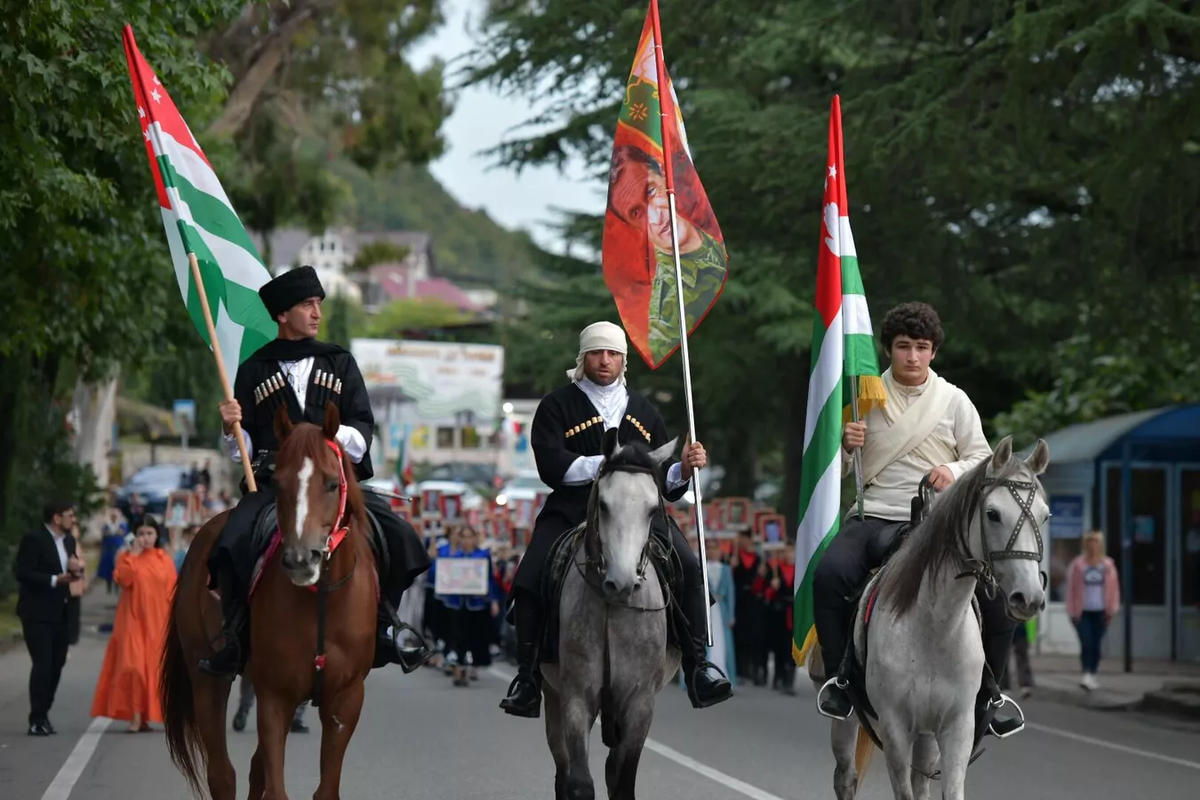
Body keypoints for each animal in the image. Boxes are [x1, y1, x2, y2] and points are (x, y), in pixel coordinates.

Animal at [160, 407, 374, 800]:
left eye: (331, 483)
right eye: (280, 482)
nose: (301, 559)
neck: (322, 600)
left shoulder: (346, 700)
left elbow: (323, 789)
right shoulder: (275, 696)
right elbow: (274, 786)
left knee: (253, 769)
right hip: (207, 679)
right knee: (223, 773)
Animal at [544, 431, 686, 800]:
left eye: (652, 510)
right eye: (604, 505)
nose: (621, 583)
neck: (612, 608)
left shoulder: (640, 703)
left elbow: (622, 783)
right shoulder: (576, 696)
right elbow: (579, 782)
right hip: (552, 696)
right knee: (562, 770)